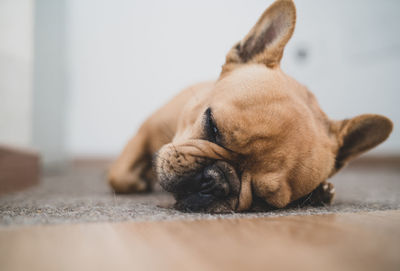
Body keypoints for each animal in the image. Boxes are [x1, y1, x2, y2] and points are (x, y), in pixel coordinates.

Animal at [108, 0, 392, 212]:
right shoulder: (145, 131)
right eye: (212, 125)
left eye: (262, 199)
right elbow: (119, 177)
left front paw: (318, 192)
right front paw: (138, 180)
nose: (215, 181)